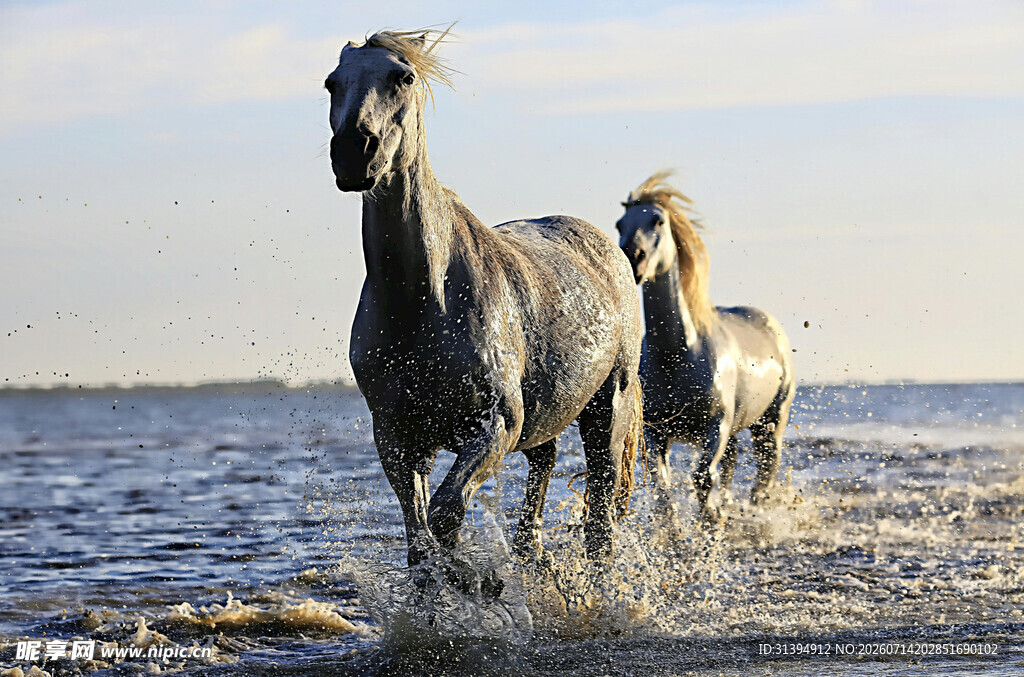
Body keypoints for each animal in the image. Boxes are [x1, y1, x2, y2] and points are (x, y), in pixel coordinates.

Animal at [325, 29, 644, 582]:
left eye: (402, 77)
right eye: (331, 83)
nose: (353, 151)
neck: (422, 301)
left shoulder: (496, 425)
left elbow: (446, 515)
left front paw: (475, 583)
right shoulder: (398, 438)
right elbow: (420, 539)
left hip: (608, 409)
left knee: (600, 523)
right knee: (540, 483)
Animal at [615, 172, 795, 524]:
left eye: (658, 220)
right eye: (620, 224)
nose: (632, 257)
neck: (677, 355)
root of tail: (771, 326)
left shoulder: (716, 426)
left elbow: (702, 479)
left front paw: (709, 523)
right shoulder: (657, 432)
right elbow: (662, 486)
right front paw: (676, 530)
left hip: (770, 422)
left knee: (765, 469)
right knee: (732, 463)